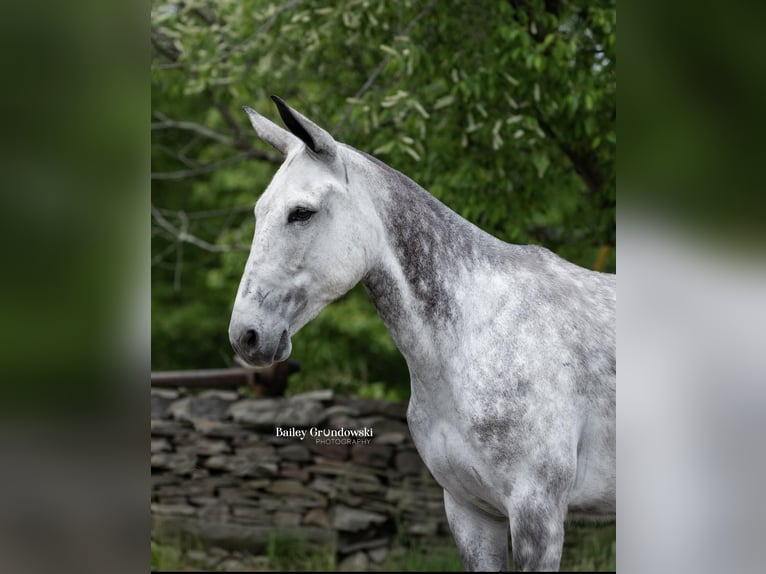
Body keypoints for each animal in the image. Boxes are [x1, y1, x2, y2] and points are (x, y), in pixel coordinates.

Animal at [230, 97, 616, 572]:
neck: (474, 339)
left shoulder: (537, 516)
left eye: (301, 212)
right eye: (259, 212)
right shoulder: (470, 512)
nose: (246, 335)